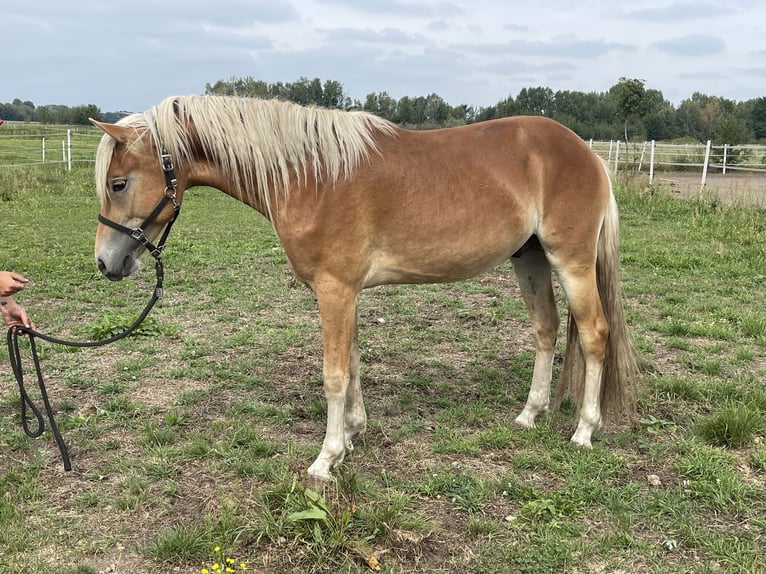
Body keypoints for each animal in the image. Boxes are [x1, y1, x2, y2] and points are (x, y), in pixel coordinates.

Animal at [90, 97, 640, 484]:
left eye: (118, 183)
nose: (106, 263)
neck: (312, 176)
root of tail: (587, 152)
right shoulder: (346, 292)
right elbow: (352, 363)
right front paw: (354, 433)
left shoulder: (334, 290)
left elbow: (334, 374)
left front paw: (326, 458)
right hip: (530, 258)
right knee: (546, 330)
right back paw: (529, 415)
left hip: (570, 261)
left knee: (594, 334)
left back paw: (584, 430)